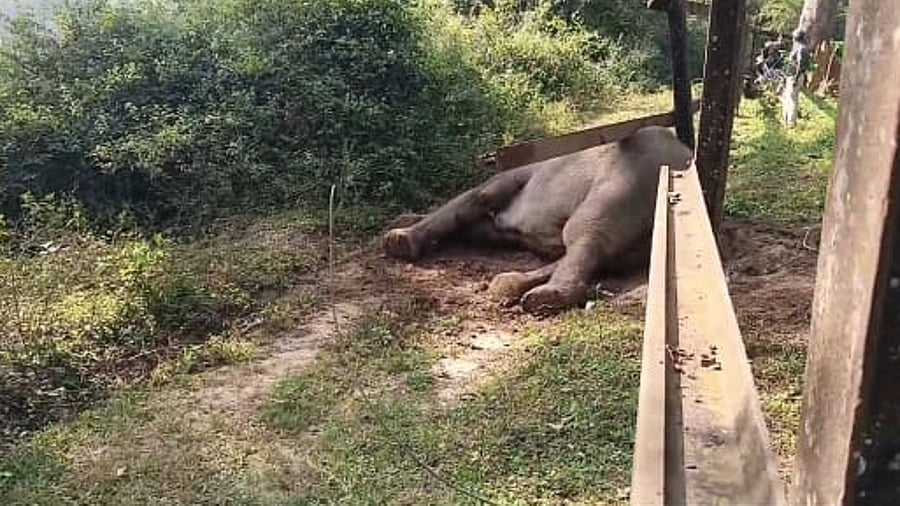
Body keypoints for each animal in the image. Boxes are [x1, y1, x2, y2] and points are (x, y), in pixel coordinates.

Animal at [382, 126, 692, 314]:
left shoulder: (514, 175)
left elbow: (480, 196)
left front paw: (397, 240)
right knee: (600, 251)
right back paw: (510, 286)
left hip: (626, 178)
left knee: (585, 232)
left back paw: (544, 297)